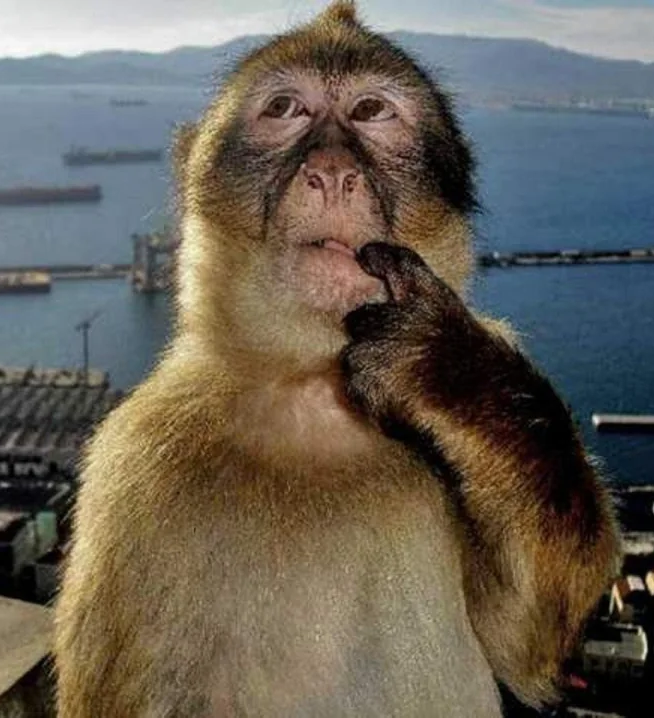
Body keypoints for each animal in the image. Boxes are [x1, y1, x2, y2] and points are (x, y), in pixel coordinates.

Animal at [53, 2, 620, 716]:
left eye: (371, 110)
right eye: (285, 109)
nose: (329, 172)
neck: (313, 393)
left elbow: (527, 641)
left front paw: (448, 369)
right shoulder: (132, 468)